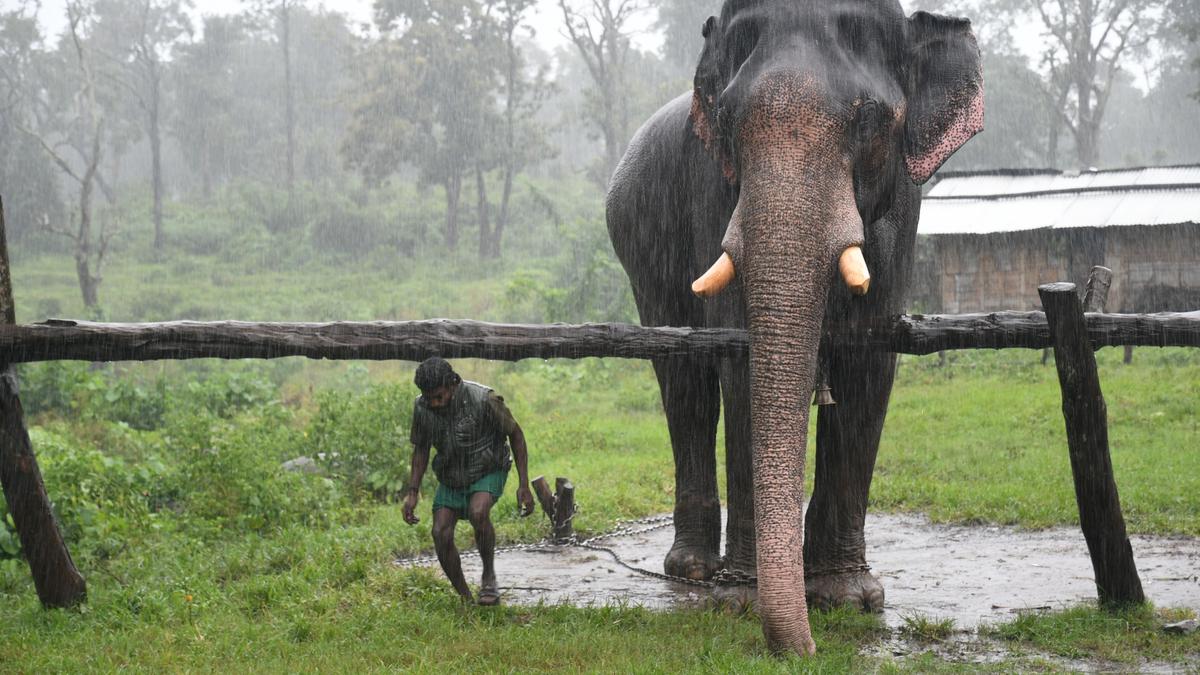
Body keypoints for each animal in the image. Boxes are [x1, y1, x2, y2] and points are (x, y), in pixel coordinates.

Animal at [604, 0, 979, 653]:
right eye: (729, 121)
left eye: (869, 120)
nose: (803, 652)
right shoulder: (715, 195)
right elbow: (741, 365)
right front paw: (739, 602)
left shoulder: (902, 213)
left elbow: (868, 363)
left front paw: (849, 600)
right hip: (639, 243)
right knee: (685, 383)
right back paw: (692, 572)